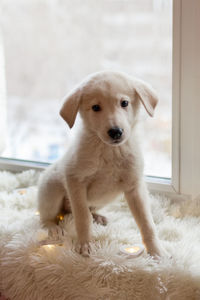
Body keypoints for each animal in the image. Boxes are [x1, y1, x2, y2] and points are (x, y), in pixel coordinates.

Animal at [37, 71, 167, 258]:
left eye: (124, 103)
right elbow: (82, 217)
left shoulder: (135, 187)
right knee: (46, 216)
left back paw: (97, 217)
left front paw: (156, 251)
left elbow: (146, 223)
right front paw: (85, 244)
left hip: (103, 199)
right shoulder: (75, 181)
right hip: (51, 189)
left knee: (84, 211)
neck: (110, 151)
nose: (115, 132)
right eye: (96, 107)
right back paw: (52, 227)